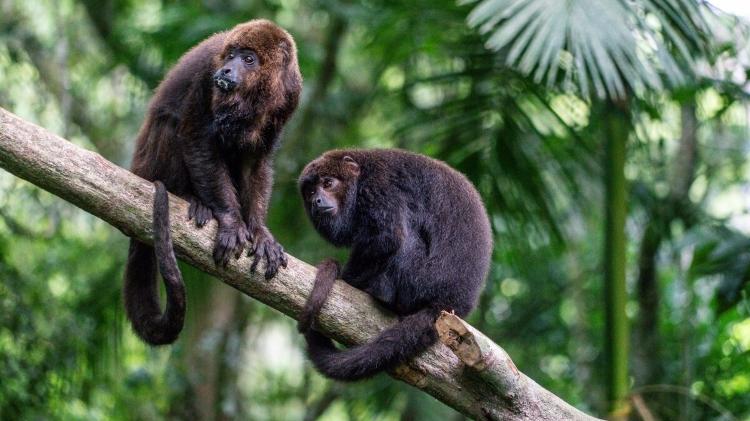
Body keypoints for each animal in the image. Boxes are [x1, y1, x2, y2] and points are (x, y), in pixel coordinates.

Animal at [125, 19, 302, 344]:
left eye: (248, 59)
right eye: (231, 55)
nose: (228, 69)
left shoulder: (291, 94)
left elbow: (257, 162)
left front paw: (260, 232)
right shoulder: (207, 73)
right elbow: (196, 137)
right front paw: (231, 222)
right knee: (171, 125)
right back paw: (190, 198)